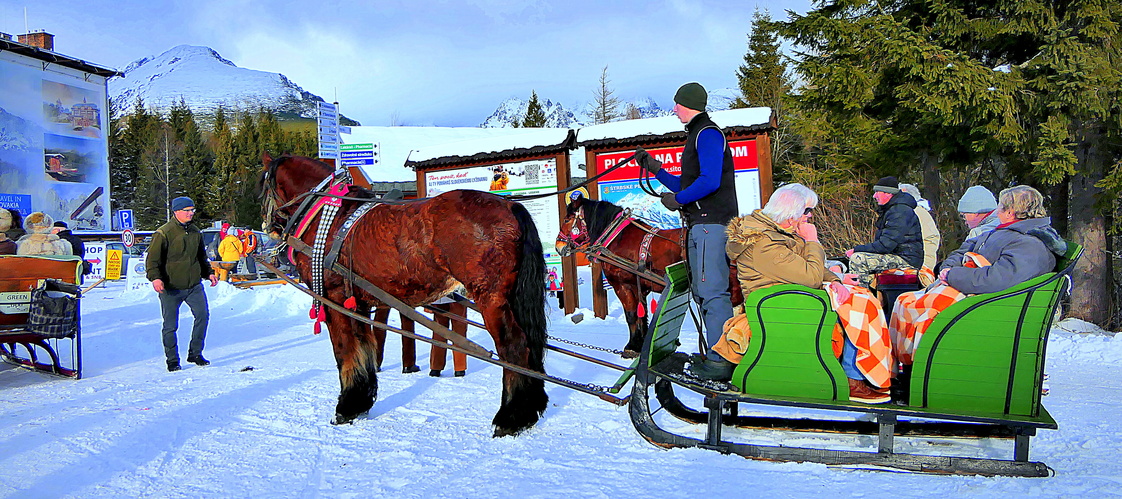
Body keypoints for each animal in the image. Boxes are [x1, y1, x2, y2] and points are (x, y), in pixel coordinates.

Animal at [259, 153, 547, 432]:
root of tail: (511, 206)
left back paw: (511, 418)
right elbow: (363, 347)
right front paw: (360, 402)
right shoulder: (358, 302)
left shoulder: (334, 298)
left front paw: (345, 408)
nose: (267, 227)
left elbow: (345, 351)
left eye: (263, 188)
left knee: (514, 347)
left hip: (491, 299)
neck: (330, 216)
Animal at [554, 193, 740, 354]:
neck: (617, 238)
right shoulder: (640, 287)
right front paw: (640, 343)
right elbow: (642, 316)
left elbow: (631, 315)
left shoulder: (622, 285)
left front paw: (631, 346)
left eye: (567, 219)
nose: (558, 246)